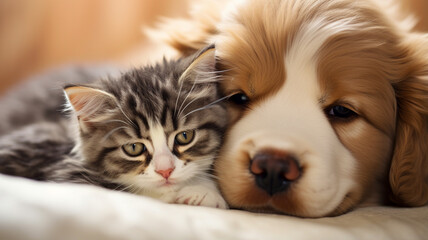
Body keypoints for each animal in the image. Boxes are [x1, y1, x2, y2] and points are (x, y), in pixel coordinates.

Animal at [0, 46, 229, 209]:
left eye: (184, 136)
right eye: (133, 148)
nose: (165, 171)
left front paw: (202, 189)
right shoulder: (63, 169)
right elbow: (129, 190)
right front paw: (201, 190)